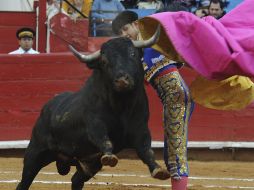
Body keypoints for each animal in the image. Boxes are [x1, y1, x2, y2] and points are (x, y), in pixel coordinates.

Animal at [16, 26, 170, 190]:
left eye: (133, 54)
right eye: (104, 61)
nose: (122, 80)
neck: (122, 104)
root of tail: (46, 108)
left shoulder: (141, 129)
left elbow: (147, 150)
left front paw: (159, 170)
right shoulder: (95, 125)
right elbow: (104, 140)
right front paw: (109, 157)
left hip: (90, 164)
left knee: (76, 180)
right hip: (35, 152)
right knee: (24, 181)